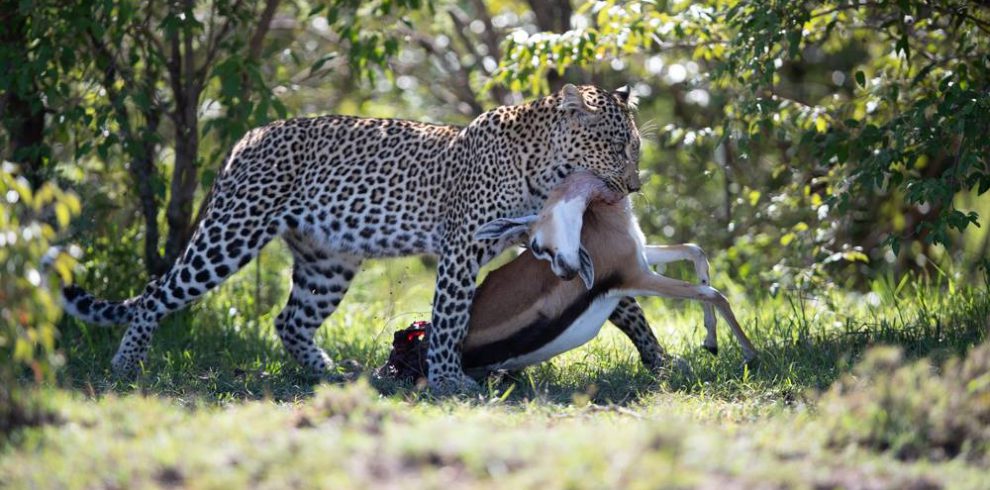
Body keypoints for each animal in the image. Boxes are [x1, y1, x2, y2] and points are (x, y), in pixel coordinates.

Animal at [60, 83, 652, 390]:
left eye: (637, 146)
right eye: (613, 144)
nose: (634, 185)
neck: (545, 168)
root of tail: (248, 136)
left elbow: (625, 303)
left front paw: (660, 361)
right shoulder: (460, 249)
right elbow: (450, 318)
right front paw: (447, 381)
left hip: (327, 262)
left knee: (290, 320)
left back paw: (331, 375)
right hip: (231, 233)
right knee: (156, 293)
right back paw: (125, 366)